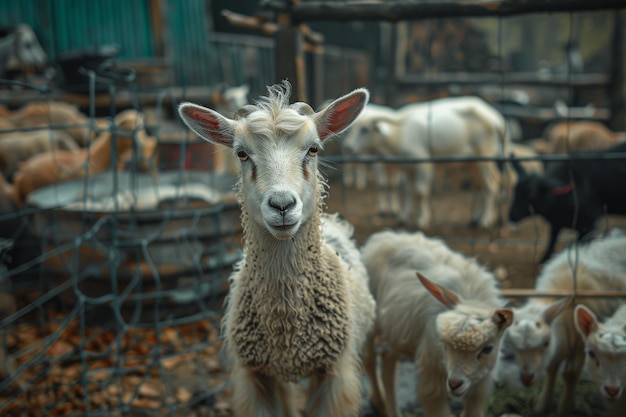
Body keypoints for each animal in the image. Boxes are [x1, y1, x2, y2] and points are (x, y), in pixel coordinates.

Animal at [178, 79, 378, 414]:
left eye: (313, 149)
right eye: (241, 153)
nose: (282, 205)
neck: (286, 324)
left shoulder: (335, 375)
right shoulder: (255, 376)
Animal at [342, 96, 508, 229]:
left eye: (364, 129)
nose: (348, 147)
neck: (399, 134)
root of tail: (497, 119)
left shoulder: (423, 163)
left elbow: (421, 191)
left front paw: (422, 220)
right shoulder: (408, 167)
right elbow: (407, 190)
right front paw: (403, 218)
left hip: (485, 159)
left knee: (491, 184)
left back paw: (485, 221)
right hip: (473, 163)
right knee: (482, 186)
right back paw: (475, 219)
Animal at [360, 229, 512, 414]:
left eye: (488, 348)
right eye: (444, 344)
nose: (455, 384)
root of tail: (383, 235)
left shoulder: (482, 384)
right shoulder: (430, 376)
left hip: (401, 331)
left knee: (387, 359)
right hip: (371, 321)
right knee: (369, 358)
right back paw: (378, 400)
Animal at [500, 229, 624, 414]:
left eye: (545, 343)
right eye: (514, 346)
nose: (527, 377)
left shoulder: (581, 343)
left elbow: (570, 374)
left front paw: (565, 407)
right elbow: (552, 368)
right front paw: (542, 405)